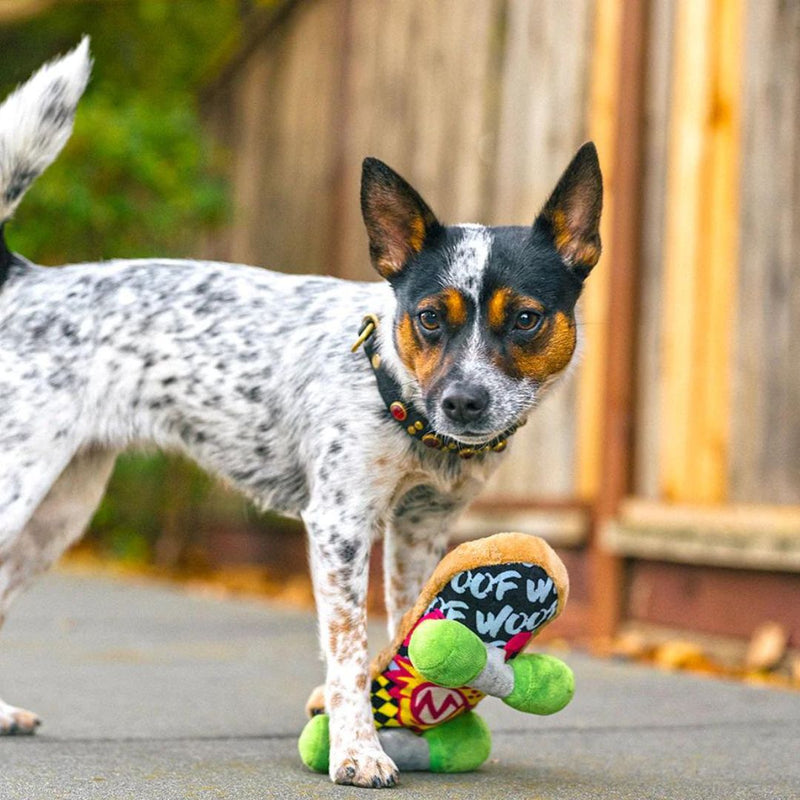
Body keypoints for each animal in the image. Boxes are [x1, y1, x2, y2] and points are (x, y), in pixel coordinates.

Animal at [0, 40, 600, 784]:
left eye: (525, 318)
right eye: (430, 317)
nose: (463, 401)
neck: (399, 402)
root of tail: (26, 278)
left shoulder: (421, 528)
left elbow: (409, 622)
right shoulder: (340, 526)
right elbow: (348, 649)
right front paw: (358, 749)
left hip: (58, 513)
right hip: (17, 490)